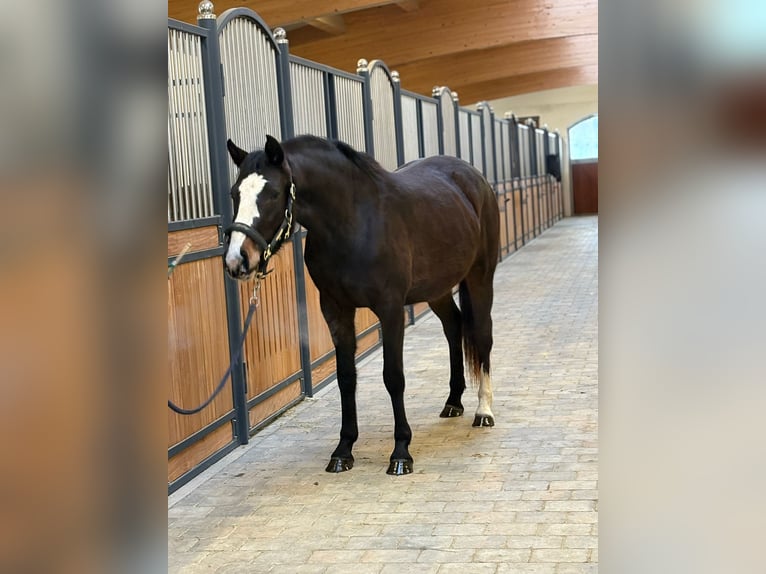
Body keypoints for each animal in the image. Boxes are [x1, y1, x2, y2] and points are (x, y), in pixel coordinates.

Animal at [223, 134, 499, 475]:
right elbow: (346, 378)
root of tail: (473, 178)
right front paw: (343, 450)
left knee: (482, 334)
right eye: (235, 193)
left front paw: (401, 452)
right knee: (454, 326)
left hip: (479, 276)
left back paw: (483, 410)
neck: (354, 222)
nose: (236, 260)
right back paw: (453, 402)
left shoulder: (391, 310)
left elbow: (393, 377)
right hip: (436, 289)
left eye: (273, 193)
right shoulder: (335, 310)